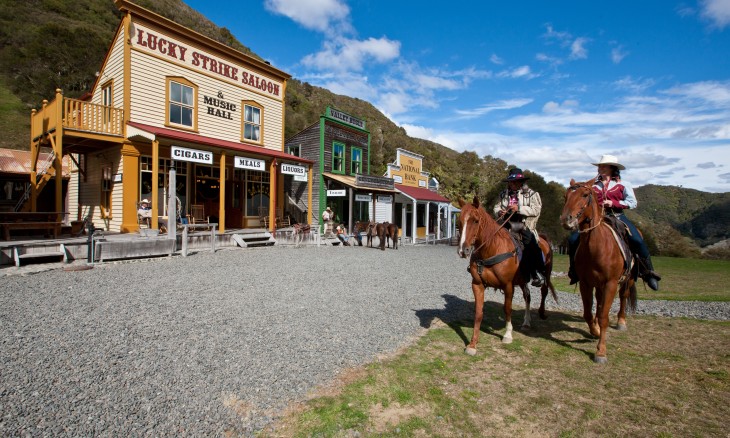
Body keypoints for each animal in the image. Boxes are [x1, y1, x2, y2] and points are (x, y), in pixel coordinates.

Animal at [458, 197, 556, 354]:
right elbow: (478, 312)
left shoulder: (508, 286)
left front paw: (508, 335)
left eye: (475, 220)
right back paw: (526, 322)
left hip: (546, 273)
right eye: (460, 220)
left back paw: (541, 312)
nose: (463, 250)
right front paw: (472, 344)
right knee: (527, 296)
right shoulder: (477, 285)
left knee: (544, 290)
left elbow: (507, 309)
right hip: (522, 281)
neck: (492, 249)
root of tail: (542, 238)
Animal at [560, 178, 636, 362]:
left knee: (624, 296)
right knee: (600, 302)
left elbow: (604, 317)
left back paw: (621, 321)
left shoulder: (611, 283)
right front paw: (595, 330)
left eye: (585, 194)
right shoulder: (585, 283)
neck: (596, 247)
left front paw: (601, 351)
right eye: (566, 195)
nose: (566, 219)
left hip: (628, 279)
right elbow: (588, 313)